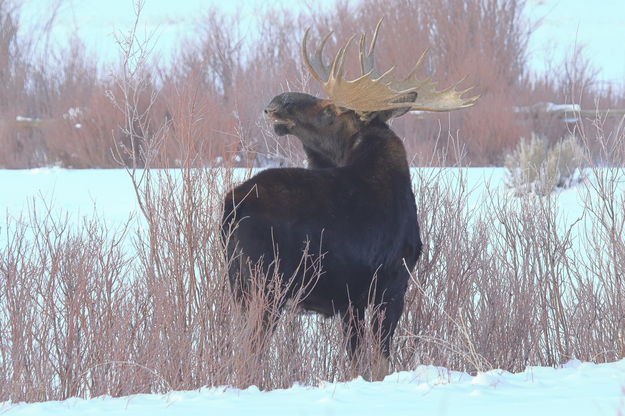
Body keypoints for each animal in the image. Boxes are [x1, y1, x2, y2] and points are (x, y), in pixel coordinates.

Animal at [219, 19, 472, 378]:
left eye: (332, 108)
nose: (278, 101)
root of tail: (232, 206)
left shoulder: (350, 301)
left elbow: (354, 361)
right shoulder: (391, 284)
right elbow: (380, 362)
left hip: (242, 289)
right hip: (264, 287)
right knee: (247, 356)